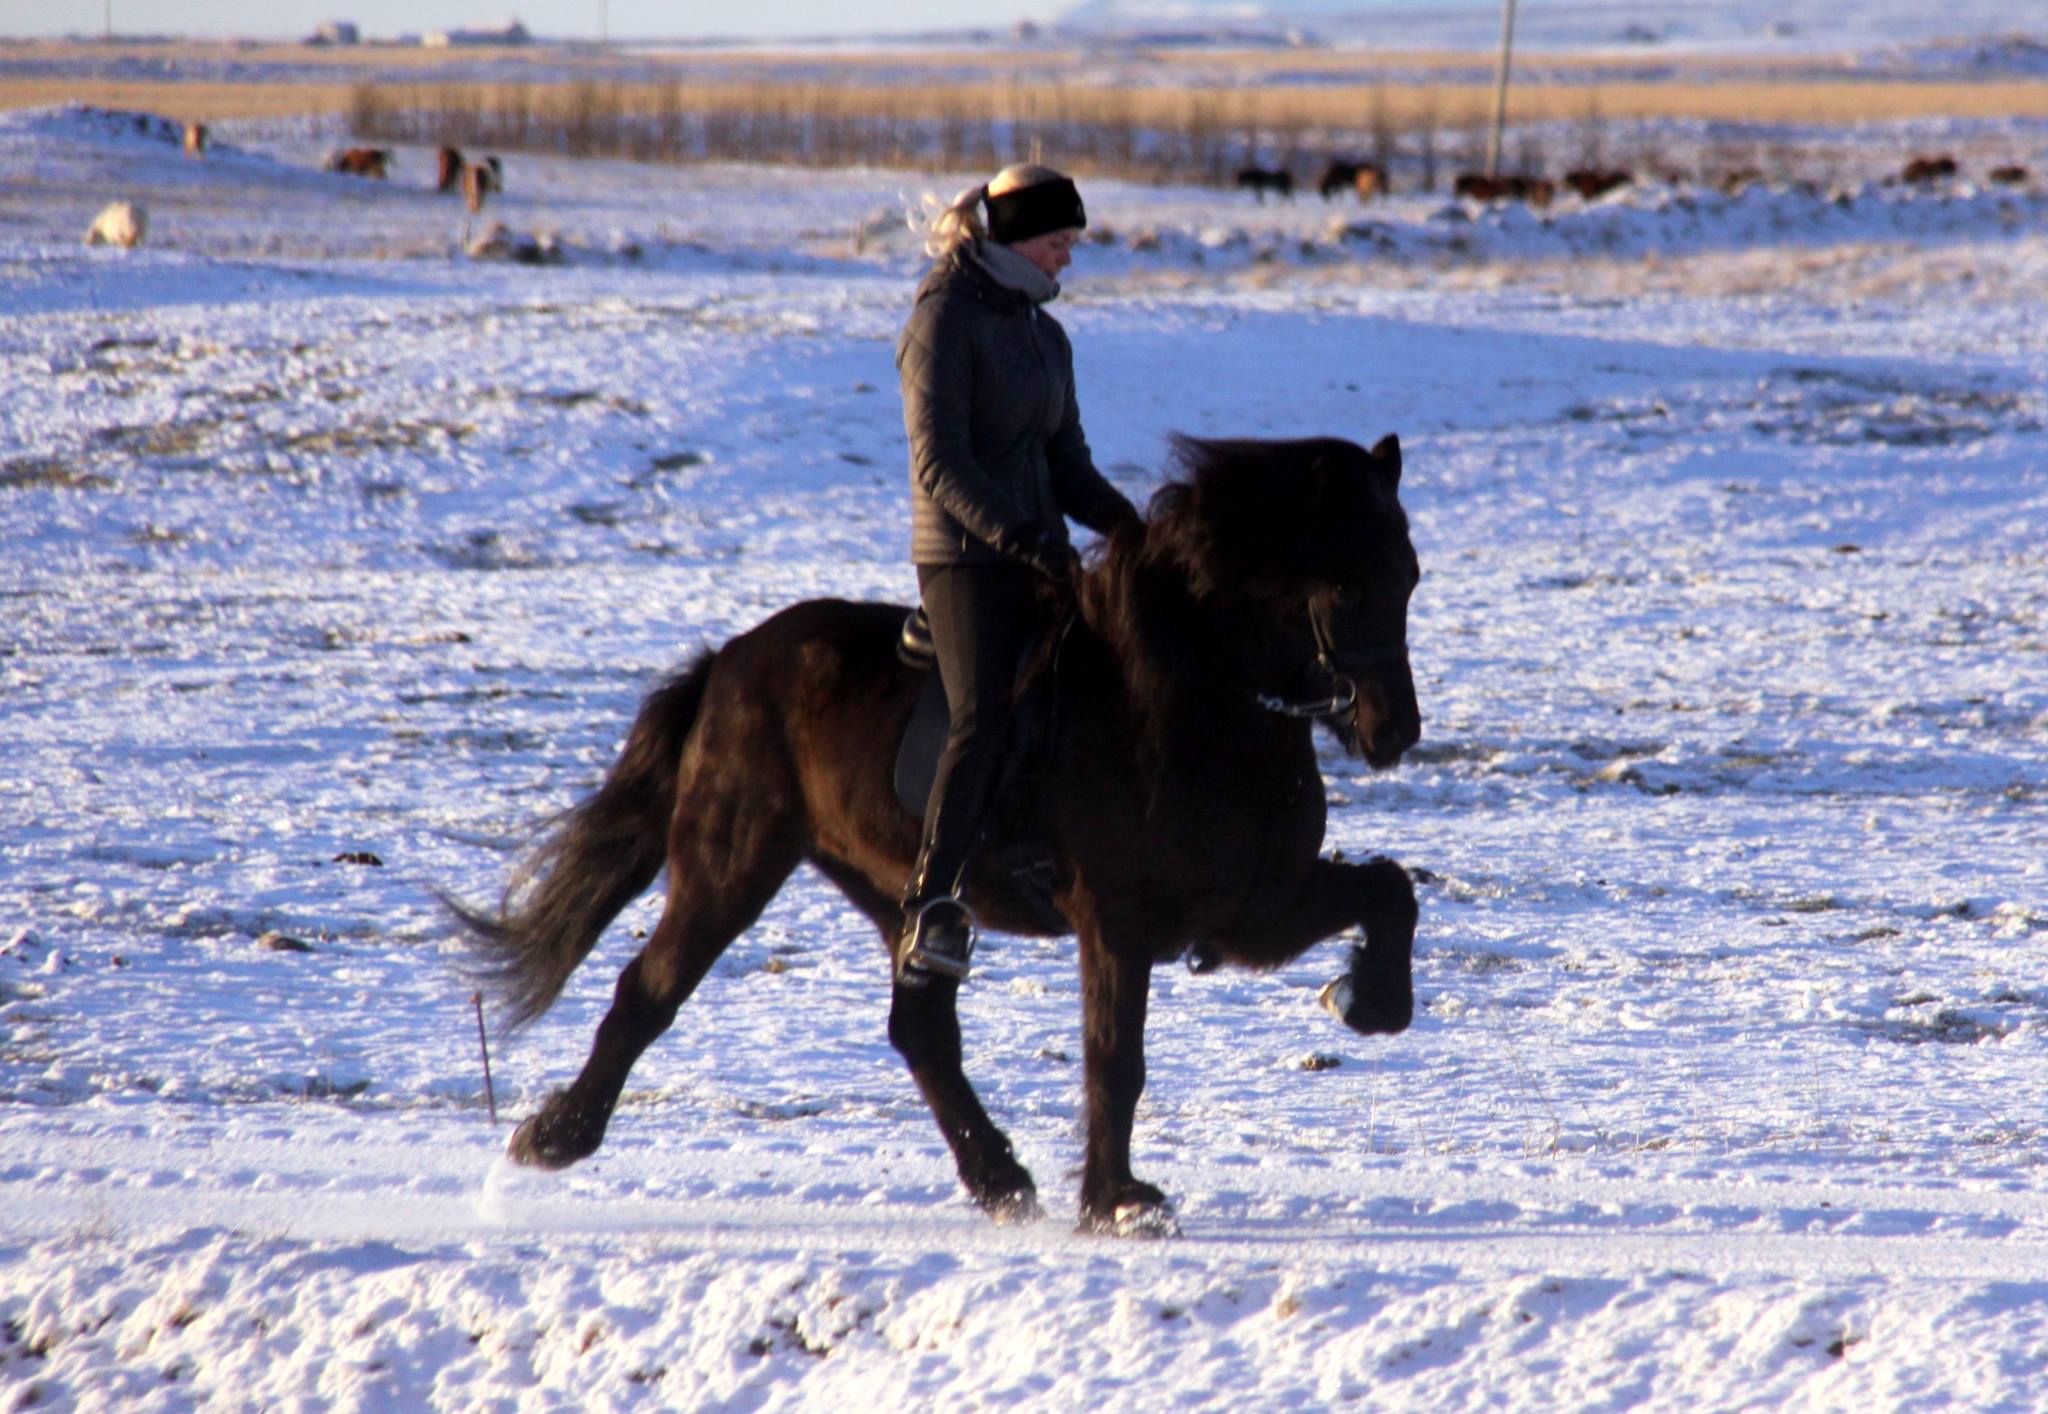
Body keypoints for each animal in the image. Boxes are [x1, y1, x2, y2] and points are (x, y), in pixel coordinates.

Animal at [460, 434, 1425, 1229]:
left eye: (1410, 576)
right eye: (1350, 584)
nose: (1395, 733)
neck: (1192, 697)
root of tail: (730, 660)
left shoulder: (1249, 907)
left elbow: (1390, 890)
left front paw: (1366, 1001)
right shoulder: (1119, 921)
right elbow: (1115, 1055)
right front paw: (1121, 1203)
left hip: (898, 890)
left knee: (919, 1031)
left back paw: (1001, 1180)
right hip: (730, 864)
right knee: (649, 991)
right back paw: (553, 1138)